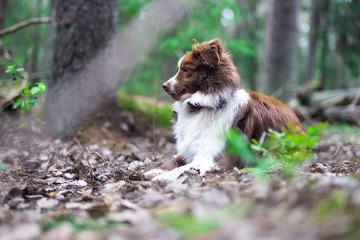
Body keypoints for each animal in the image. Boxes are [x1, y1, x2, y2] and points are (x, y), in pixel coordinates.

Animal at [145, 39, 302, 181]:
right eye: (177, 70)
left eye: (186, 70)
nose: (164, 85)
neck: (203, 106)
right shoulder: (188, 151)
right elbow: (170, 163)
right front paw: (153, 171)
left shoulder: (213, 159)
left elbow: (182, 168)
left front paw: (163, 177)